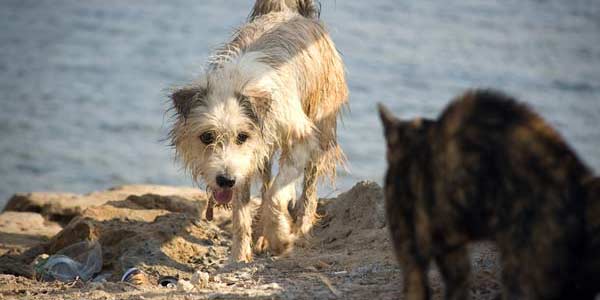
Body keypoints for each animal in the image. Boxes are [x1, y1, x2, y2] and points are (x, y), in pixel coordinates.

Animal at [168, 0, 346, 262]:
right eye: (207, 137)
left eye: (242, 136)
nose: (225, 180)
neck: (235, 82)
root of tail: (292, 13)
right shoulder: (243, 162)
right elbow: (241, 210)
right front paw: (239, 256)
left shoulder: (300, 138)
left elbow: (276, 193)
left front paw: (280, 238)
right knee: (265, 181)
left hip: (322, 121)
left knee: (309, 185)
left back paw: (301, 228)